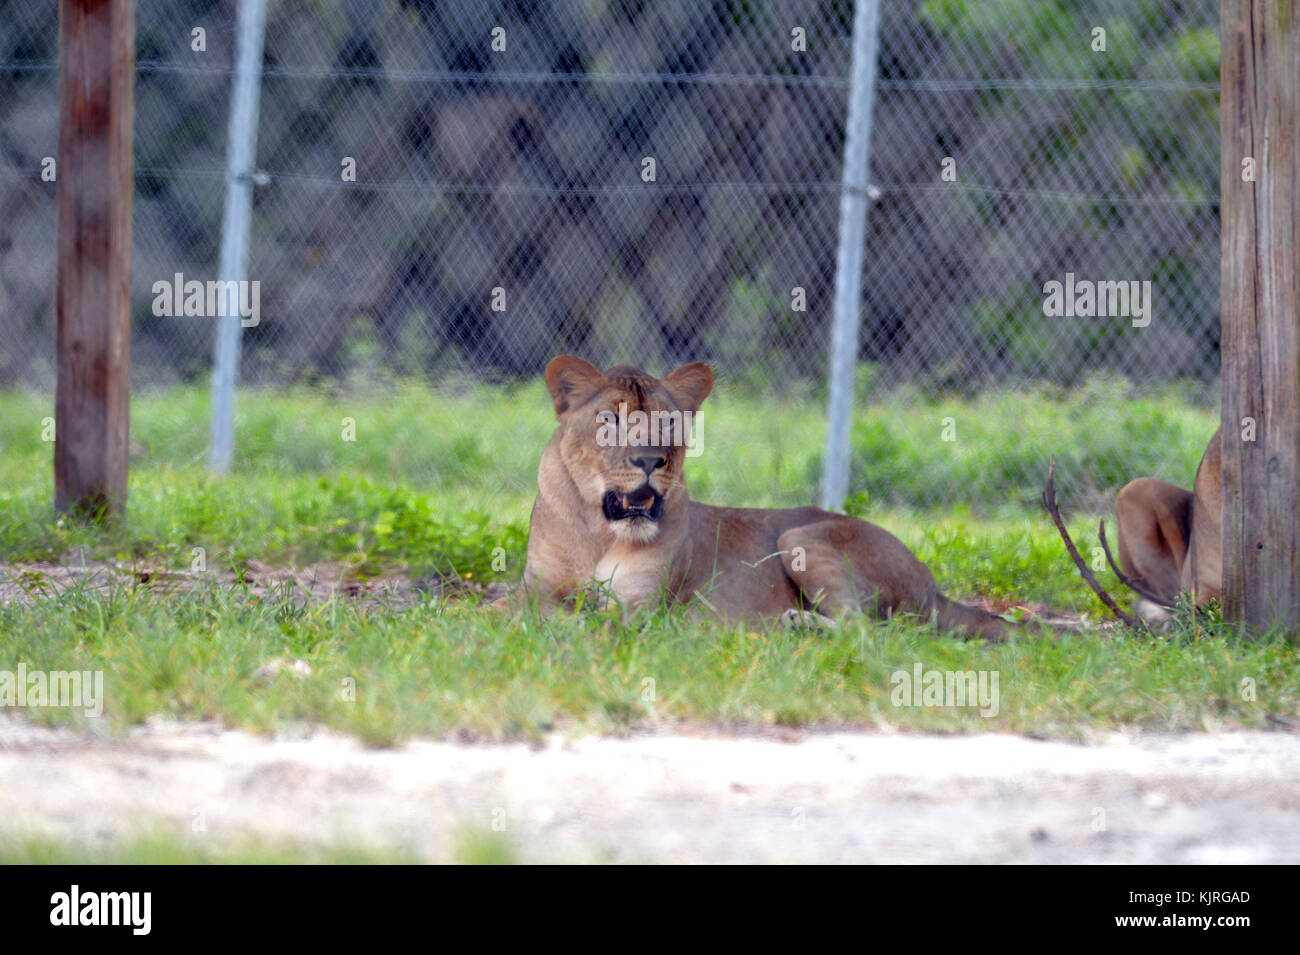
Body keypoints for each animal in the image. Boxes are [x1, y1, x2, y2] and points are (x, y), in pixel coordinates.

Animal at [496, 356, 1013, 639]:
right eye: (611, 420)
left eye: (669, 422)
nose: (650, 460)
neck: (600, 531)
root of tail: (932, 585)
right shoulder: (535, 586)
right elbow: (500, 610)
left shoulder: (637, 610)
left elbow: (578, 622)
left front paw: (554, 626)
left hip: (799, 537)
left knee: (867, 631)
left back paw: (797, 626)